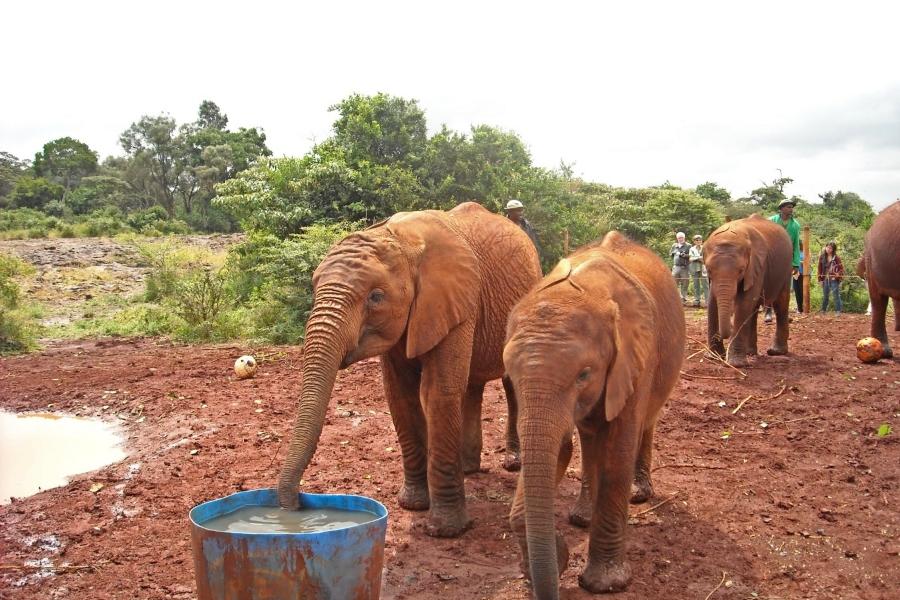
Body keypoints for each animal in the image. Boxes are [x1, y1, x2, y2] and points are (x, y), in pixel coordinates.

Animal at [277, 202, 542, 538]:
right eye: (314, 290)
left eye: (376, 297)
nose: (296, 506)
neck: (400, 240)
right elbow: (400, 396)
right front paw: (413, 505)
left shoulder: (456, 301)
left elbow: (438, 392)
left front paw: (446, 530)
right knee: (471, 385)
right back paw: (468, 468)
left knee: (508, 384)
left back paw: (512, 463)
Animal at [504, 231, 685, 598]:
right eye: (511, 375)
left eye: (584, 375)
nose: (558, 555)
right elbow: (561, 449)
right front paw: (557, 556)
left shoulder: (635, 356)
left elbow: (618, 448)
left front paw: (605, 584)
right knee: (589, 438)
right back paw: (582, 518)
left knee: (646, 423)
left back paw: (638, 494)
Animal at [704, 214, 793, 367]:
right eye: (708, 270)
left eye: (741, 270)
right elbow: (712, 301)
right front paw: (714, 357)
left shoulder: (757, 265)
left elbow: (744, 301)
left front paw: (736, 364)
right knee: (754, 309)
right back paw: (751, 353)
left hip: (786, 269)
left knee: (780, 304)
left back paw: (776, 352)